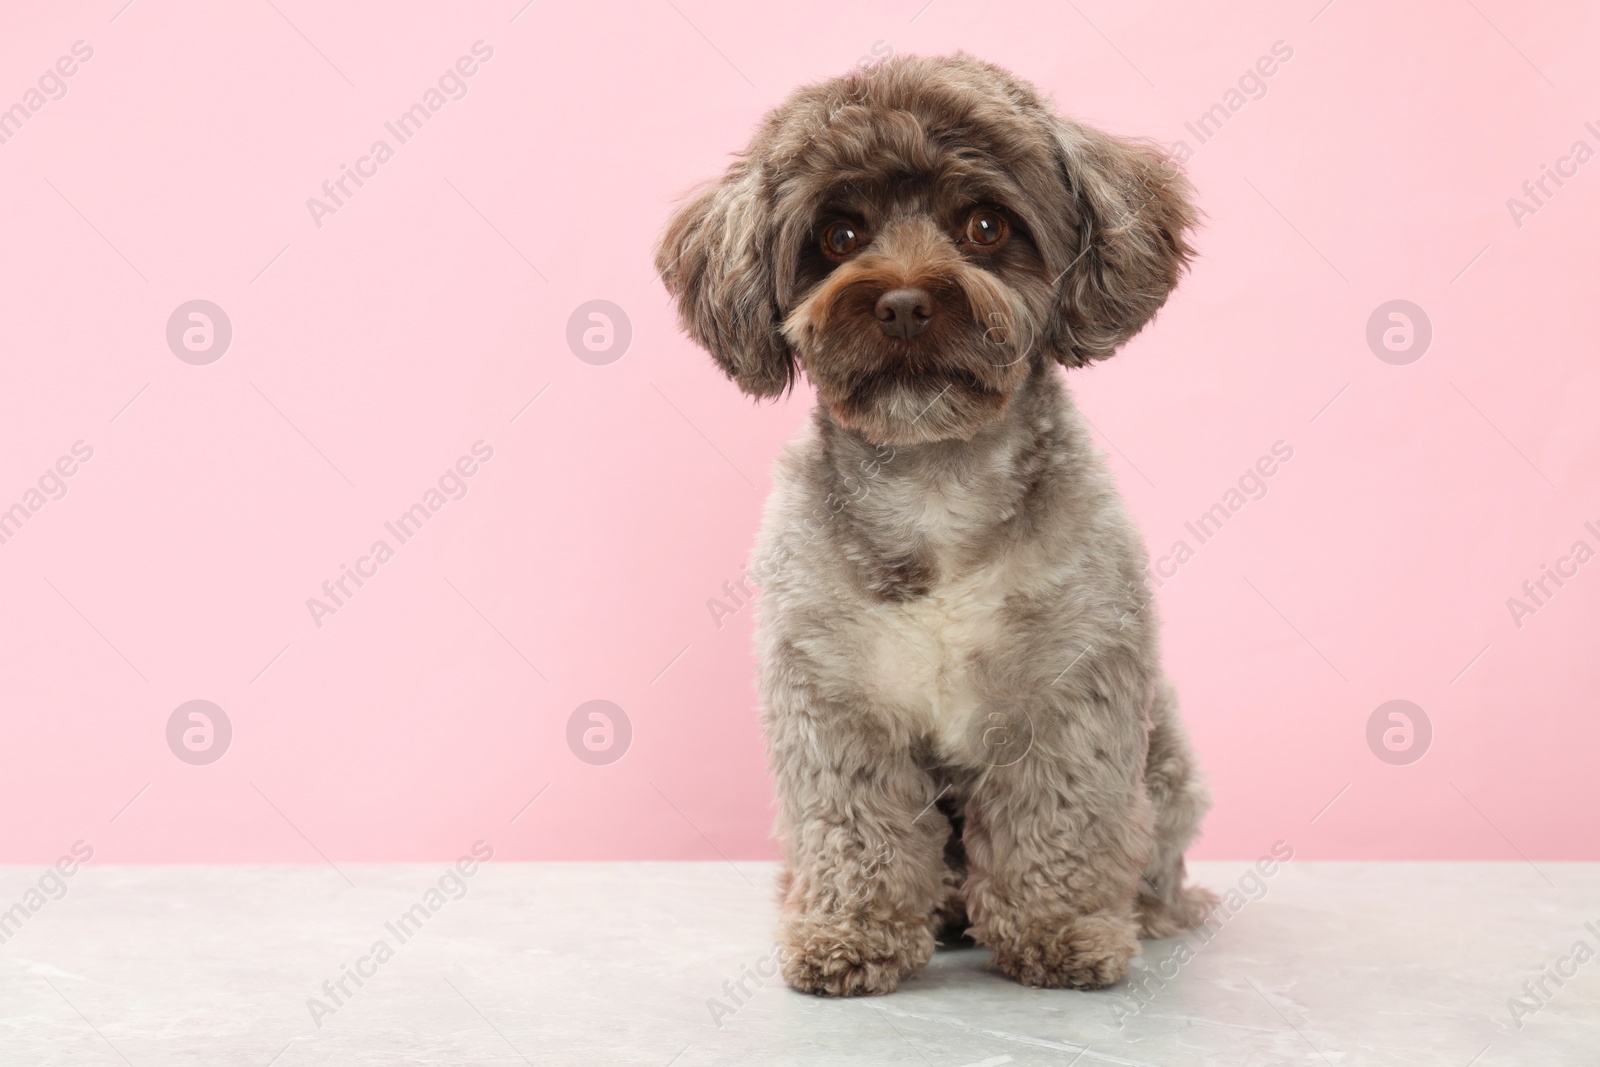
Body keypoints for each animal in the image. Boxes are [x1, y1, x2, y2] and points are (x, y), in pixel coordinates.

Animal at [652, 54, 1209, 998]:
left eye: (985, 225)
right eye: (839, 235)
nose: (906, 303)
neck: (933, 484)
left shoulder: (1071, 693)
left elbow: (1061, 818)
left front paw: (1061, 929)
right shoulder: (832, 701)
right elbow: (856, 827)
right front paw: (850, 933)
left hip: (1166, 754)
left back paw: (1148, 908)